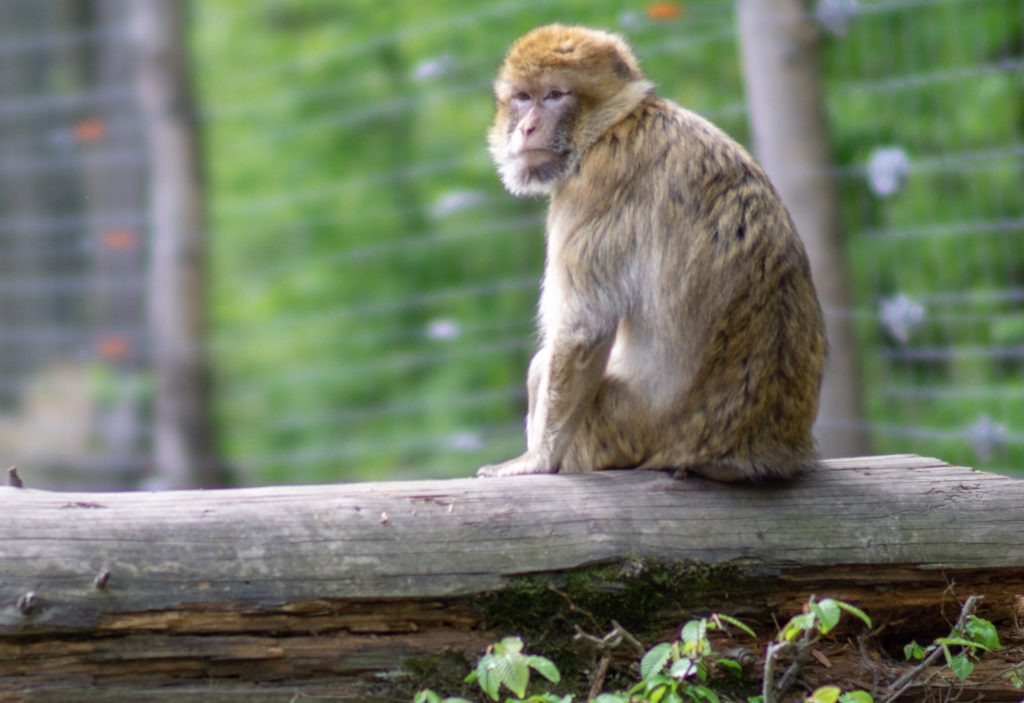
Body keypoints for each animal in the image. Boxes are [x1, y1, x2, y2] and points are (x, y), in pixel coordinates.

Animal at [477, 24, 826, 483]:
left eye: (554, 95)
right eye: (522, 97)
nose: (528, 127)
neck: (615, 123)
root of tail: (753, 452)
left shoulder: (591, 185)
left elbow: (583, 330)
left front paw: (538, 460)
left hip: (618, 429)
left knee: (546, 364)